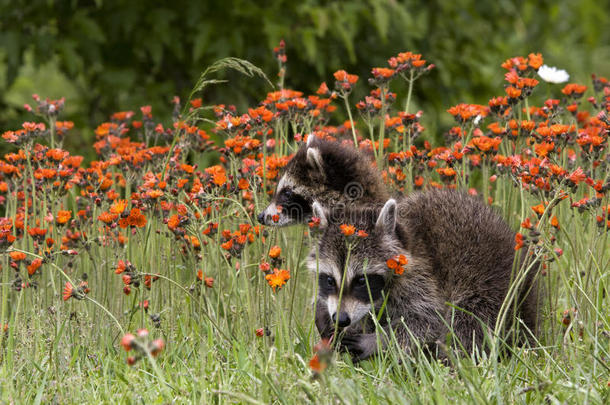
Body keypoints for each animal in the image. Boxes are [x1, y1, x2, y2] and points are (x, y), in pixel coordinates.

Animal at [308, 189, 536, 360]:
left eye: (361, 280)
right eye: (329, 280)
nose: (341, 319)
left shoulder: (422, 276)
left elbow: (428, 320)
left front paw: (380, 340)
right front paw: (325, 314)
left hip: (494, 287)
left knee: (468, 321)